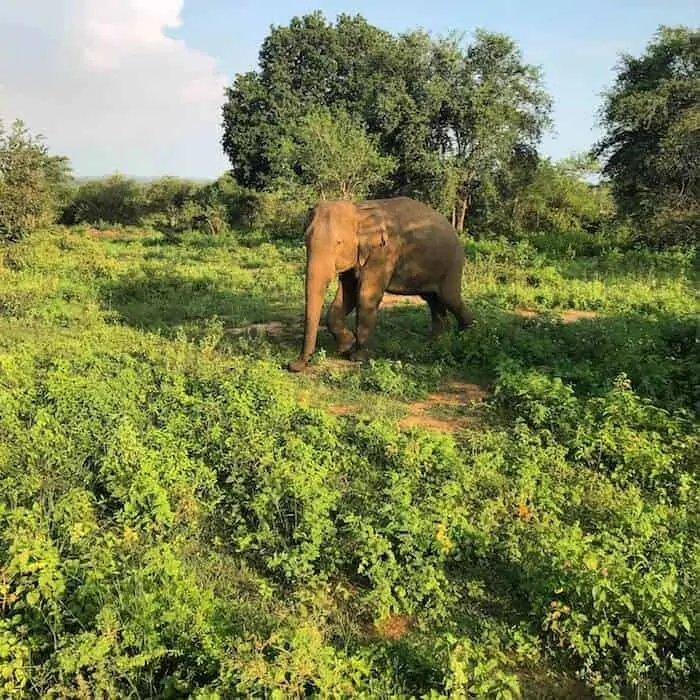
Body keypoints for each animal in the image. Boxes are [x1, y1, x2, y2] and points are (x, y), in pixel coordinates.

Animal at [288, 197, 474, 372]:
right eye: (305, 240)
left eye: (339, 242)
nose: (293, 365)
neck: (359, 210)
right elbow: (347, 296)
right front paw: (347, 346)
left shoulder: (384, 252)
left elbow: (365, 295)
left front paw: (357, 357)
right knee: (433, 300)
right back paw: (436, 343)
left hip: (453, 262)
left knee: (449, 297)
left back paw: (466, 337)